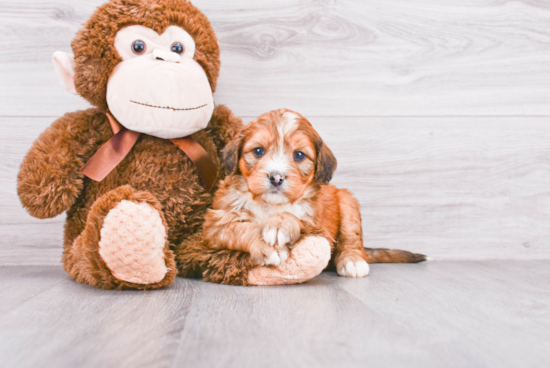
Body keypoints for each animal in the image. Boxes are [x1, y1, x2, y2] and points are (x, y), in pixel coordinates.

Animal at [203, 108, 426, 278]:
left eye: (299, 155)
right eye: (258, 151)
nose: (276, 177)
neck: (270, 205)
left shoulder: (316, 223)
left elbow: (294, 216)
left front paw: (279, 223)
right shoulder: (215, 224)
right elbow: (239, 228)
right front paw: (267, 246)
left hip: (347, 201)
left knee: (352, 238)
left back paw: (353, 261)